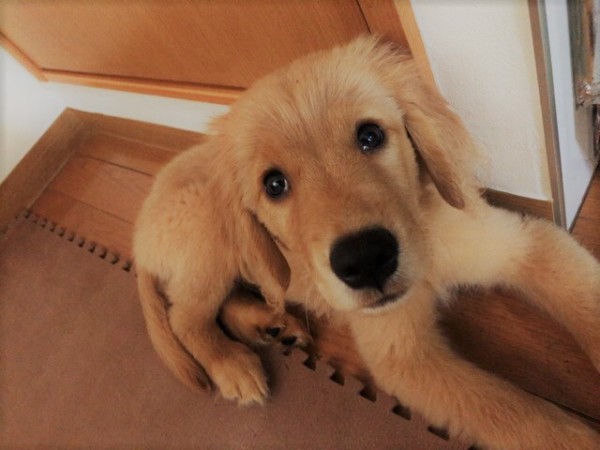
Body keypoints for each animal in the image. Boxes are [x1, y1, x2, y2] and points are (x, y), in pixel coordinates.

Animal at [133, 36, 600, 448]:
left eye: (370, 135)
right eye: (274, 184)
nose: (366, 259)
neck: (427, 248)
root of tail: (139, 232)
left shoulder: (518, 243)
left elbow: (585, 297)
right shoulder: (403, 354)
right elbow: (518, 415)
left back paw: (271, 325)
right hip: (207, 239)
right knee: (185, 317)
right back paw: (232, 365)